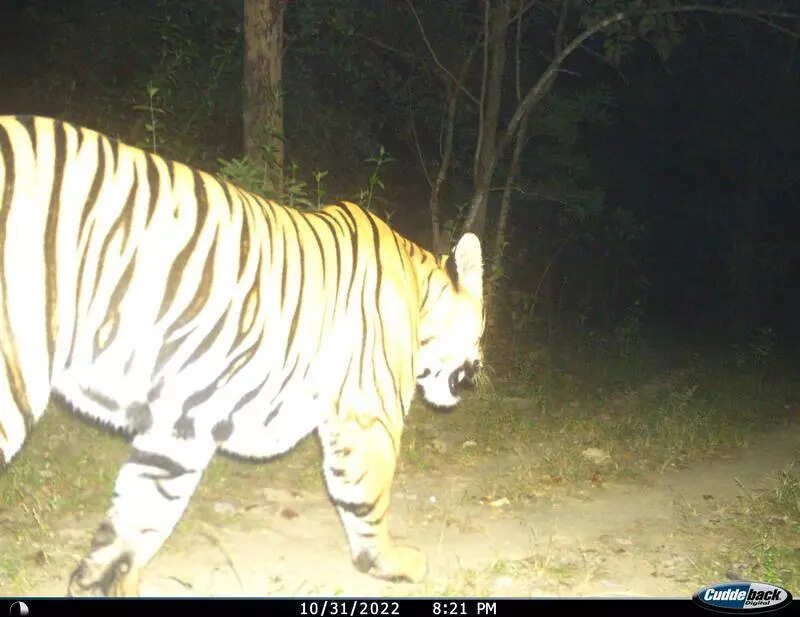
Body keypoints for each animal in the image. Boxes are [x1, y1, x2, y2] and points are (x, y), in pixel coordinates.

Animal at [0, 115, 484, 596]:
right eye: (481, 328)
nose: (480, 368)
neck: (420, 295)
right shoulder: (367, 415)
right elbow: (371, 497)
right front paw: (390, 562)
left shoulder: (181, 425)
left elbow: (139, 513)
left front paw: (101, 582)